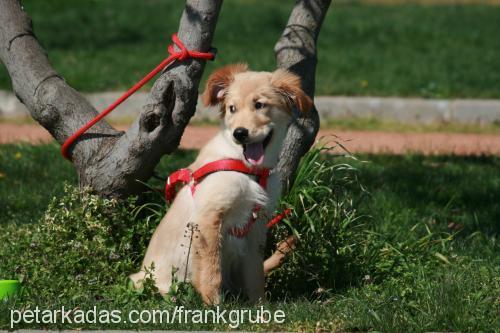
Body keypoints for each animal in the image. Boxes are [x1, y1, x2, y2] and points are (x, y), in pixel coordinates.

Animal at [132, 63, 312, 304]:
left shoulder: (256, 225)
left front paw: (260, 305)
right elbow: (211, 269)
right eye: (232, 108)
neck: (246, 168)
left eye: (259, 105)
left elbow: (255, 272)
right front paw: (214, 305)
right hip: (147, 281)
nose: (239, 133)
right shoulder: (209, 218)